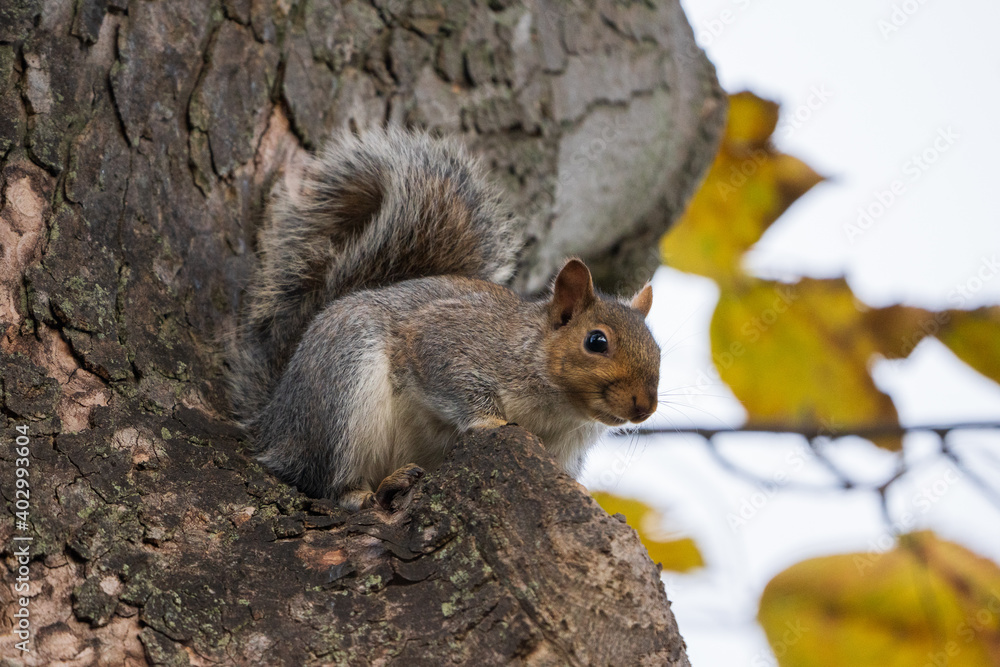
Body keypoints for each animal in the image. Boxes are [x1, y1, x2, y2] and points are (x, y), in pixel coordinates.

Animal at [228, 127, 661, 510]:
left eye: (657, 350)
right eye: (596, 341)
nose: (645, 407)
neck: (559, 408)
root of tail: (274, 421)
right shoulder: (446, 340)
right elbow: (454, 380)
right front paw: (492, 422)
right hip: (342, 387)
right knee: (328, 478)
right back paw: (371, 490)